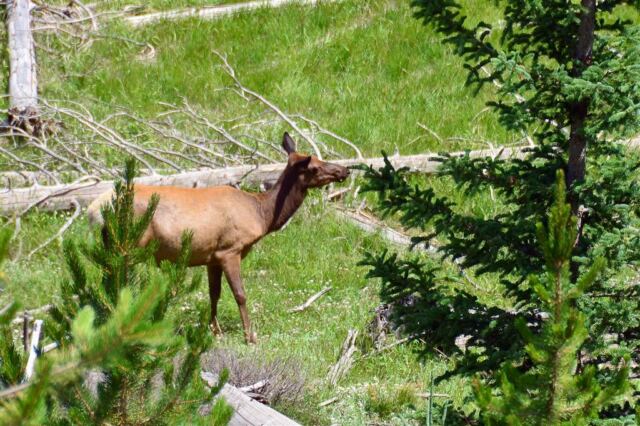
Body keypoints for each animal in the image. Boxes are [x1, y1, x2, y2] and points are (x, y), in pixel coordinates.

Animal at [87, 132, 350, 344]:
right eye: (314, 166)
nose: (345, 170)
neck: (261, 214)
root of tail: (96, 209)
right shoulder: (230, 250)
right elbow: (240, 295)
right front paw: (249, 336)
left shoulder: (211, 257)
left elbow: (214, 293)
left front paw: (215, 330)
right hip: (130, 245)